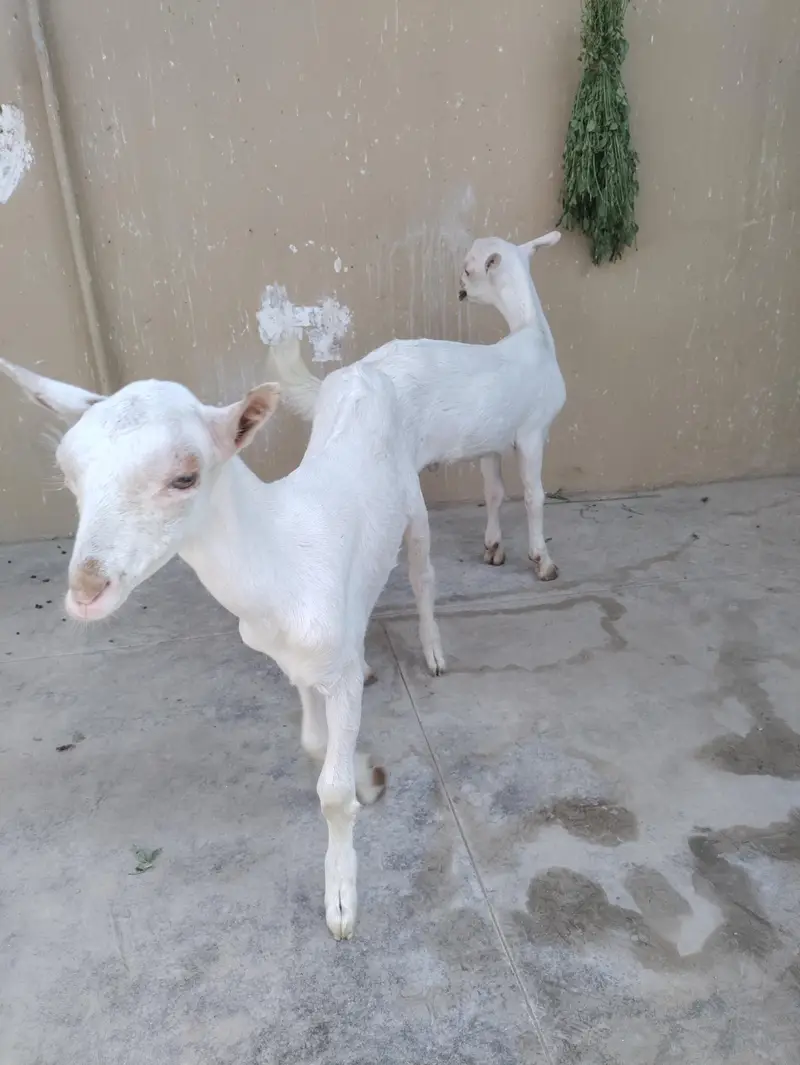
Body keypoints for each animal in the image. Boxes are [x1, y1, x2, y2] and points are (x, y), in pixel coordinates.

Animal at [0, 348, 445, 940]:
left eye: (185, 477)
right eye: (68, 473)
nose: (86, 591)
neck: (284, 560)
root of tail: (360, 371)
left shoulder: (336, 675)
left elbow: (331, 792)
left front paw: (341, 899)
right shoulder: (298, 660)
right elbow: (312, 739)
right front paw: (366, 774)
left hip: (413, 502)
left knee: (422, 572)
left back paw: (434, 650)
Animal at [267, 230, 565, 579]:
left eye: (467, 270)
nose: (459, 289)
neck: (533, 334)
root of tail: (347, 381)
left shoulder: (492, 442)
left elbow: (495, 493)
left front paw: (494, 548)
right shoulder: (532, 432)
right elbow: (535, 495)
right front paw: (544, 562)